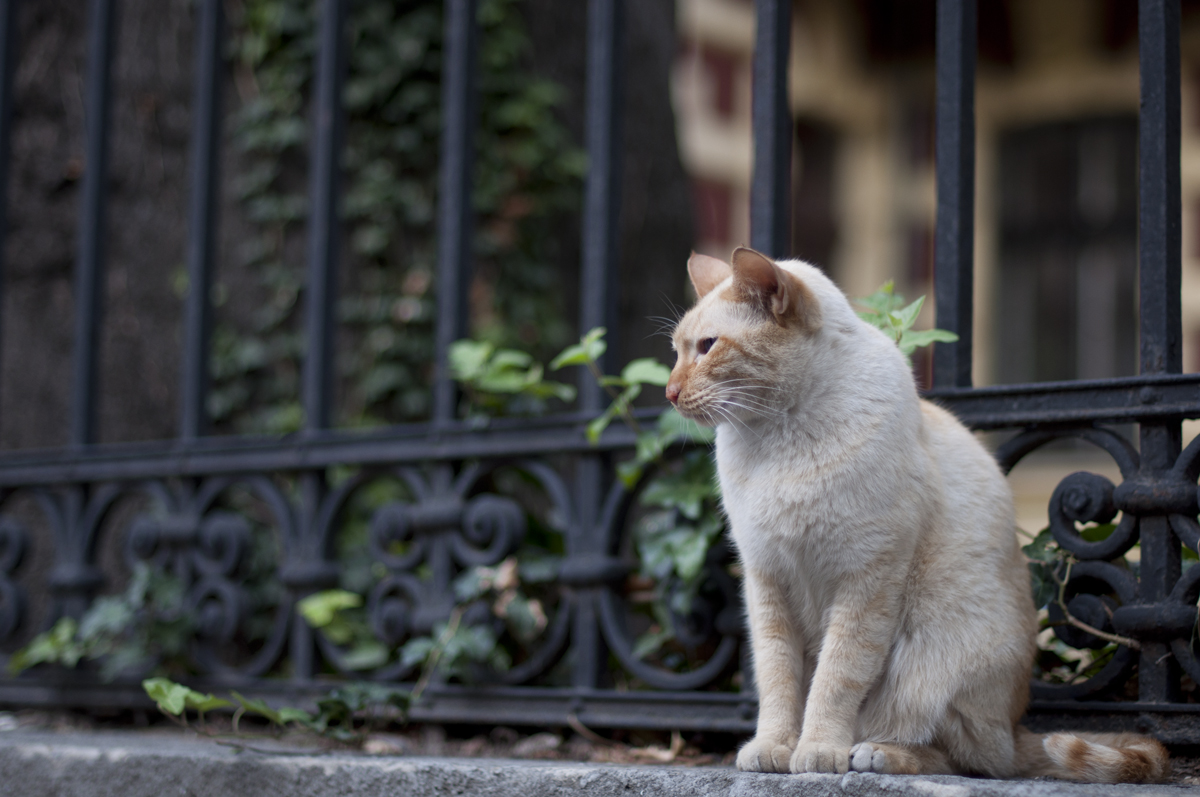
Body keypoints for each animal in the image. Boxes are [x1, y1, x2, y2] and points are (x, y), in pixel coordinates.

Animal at [662, 246, 1166, 782]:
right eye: (676, 351)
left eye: (707, 347)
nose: (669, 392)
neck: (776, 438)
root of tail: (1014, 727)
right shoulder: (767, 583)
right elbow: (777, 680)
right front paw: (773, 748)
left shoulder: (867, 578)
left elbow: (835, 678)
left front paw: (817, 751)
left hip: (931, 657)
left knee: (966, 759)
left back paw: (876, 752)